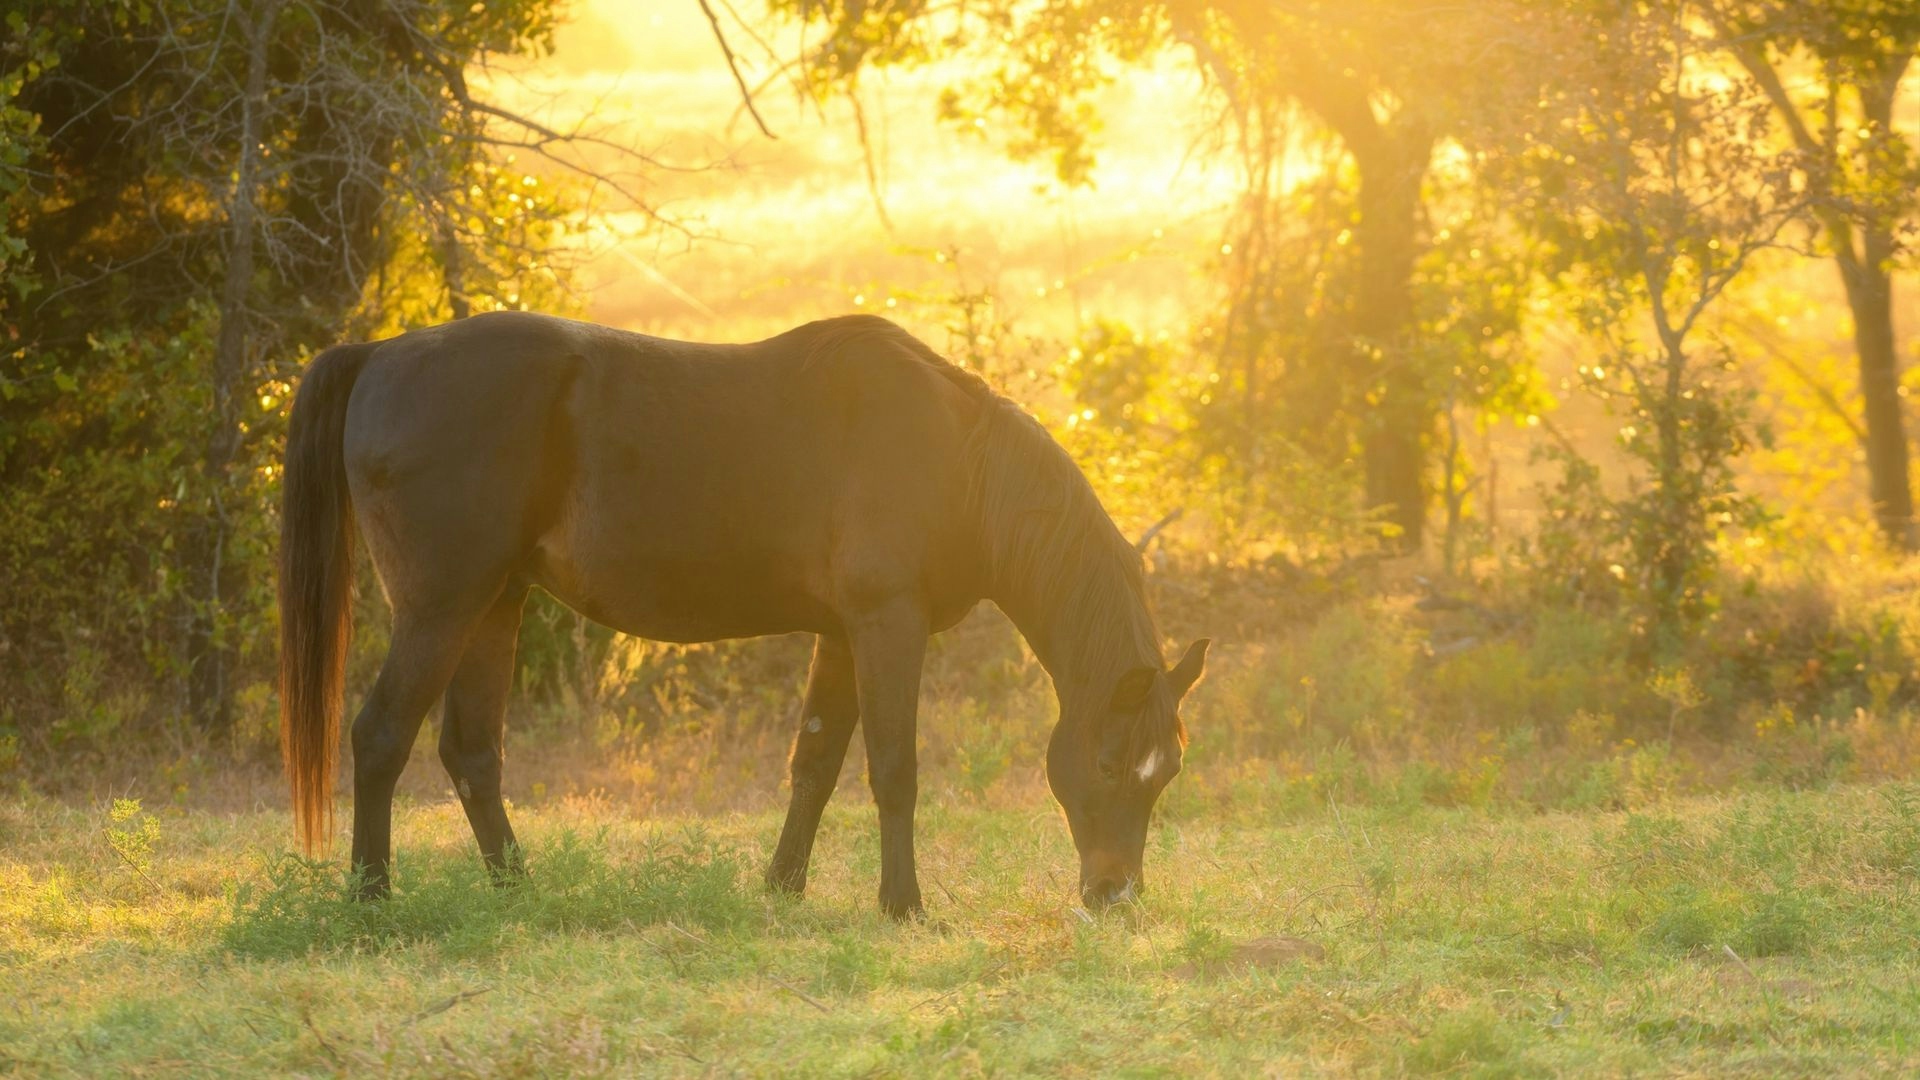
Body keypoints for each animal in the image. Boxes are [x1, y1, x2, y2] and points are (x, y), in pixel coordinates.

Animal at [278, 307, 1205, 910]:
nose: (1115, 897)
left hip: (494, 604)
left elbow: (816, 762)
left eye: (1168, 772)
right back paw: (371, 900)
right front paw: (902, 905)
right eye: (1112, 764)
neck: (958, 462)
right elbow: (893, 769)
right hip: (442, 607)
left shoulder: (842, 635)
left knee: (471, 753)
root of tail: (379, 355)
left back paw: (519, 892)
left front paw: (782, 888)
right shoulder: (887, 627)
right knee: (381, 736)